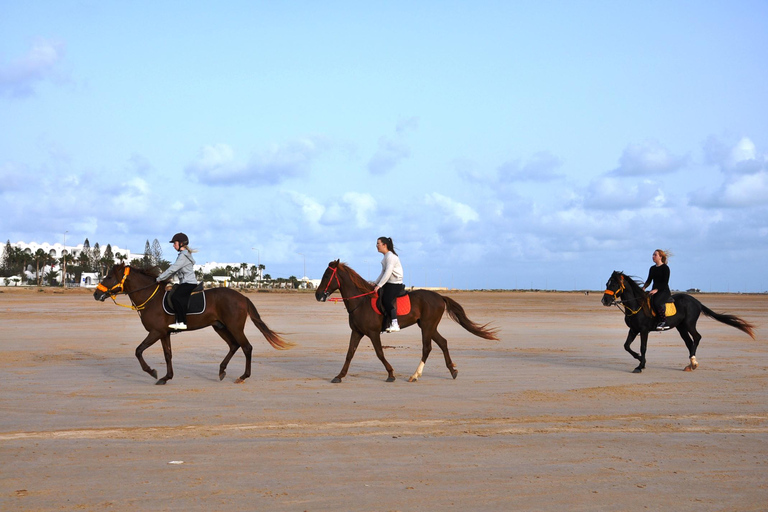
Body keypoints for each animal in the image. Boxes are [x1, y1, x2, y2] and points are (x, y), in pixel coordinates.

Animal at [94, 264, 292, 384]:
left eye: (109, 276)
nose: (96, 294)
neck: (151, 298)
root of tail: (242, 297)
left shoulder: (155, 332)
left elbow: (138, 350)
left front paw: (152, 371)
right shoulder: (164, 333)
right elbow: (168, 355)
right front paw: (167, 377)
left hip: (234, 327)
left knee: (246, 347)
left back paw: (243, 376)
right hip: (220, 327)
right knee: (234, 345)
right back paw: (222, 370)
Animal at [316, 262, 500, 382]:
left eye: (327, 275)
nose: (318, 295)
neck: (361, 302)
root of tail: (440, 296)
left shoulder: (373, 333)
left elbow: (380, 353)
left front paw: (391, 374)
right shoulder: (357, 332)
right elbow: (349, 354)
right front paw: (339, 376)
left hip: (427, 326)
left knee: (427, 348)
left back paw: (415, 375)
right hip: (429, 326)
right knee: (443, 343)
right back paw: (452, 371)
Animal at [600, 270, 756, 374]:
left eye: (614, 284)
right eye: (607, 283)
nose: (605, 300)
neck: (636, 304)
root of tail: (696, 301)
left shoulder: (643, 330)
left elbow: (643, 347)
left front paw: (640, 365)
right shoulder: (633, 329)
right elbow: (626, 346)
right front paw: (639, 359)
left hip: (689, 324)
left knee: (697, 337)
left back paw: (693, 362)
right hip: (681, 327)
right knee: (689, 342)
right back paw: (690, 364)